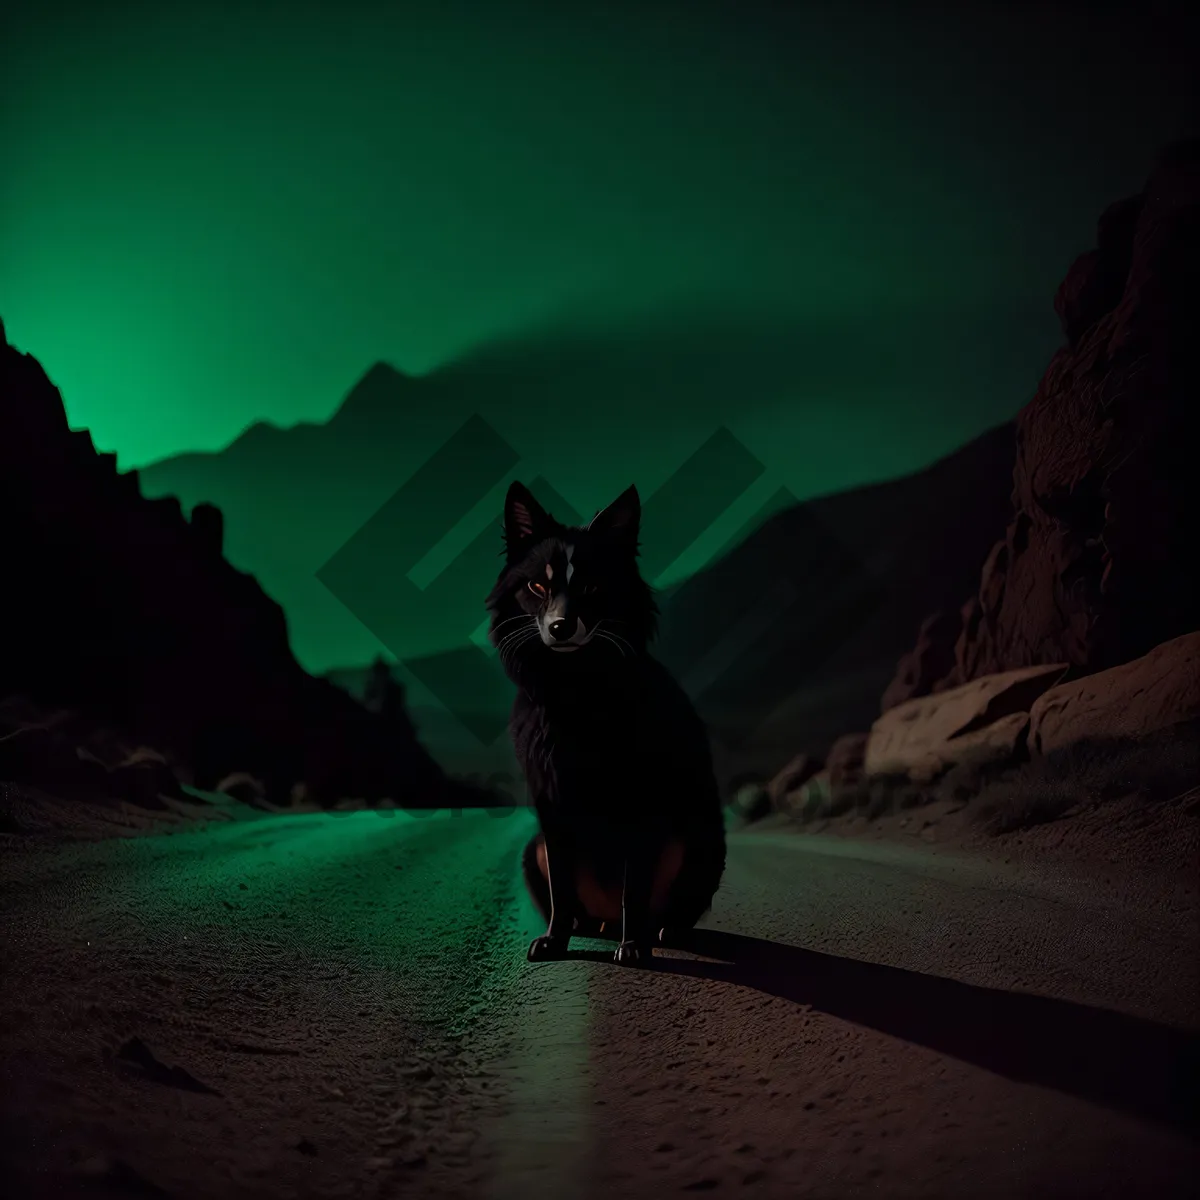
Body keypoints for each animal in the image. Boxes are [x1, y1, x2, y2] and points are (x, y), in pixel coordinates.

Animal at [482, 477, 724, 964]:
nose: (560, 627)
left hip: (698, 834)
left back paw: (662, 932)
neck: (575, 687)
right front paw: (554, 942)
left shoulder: (641, 800)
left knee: (667, 908)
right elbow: (560, 887)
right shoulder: (550, 803)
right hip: (533, 848)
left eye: (592, 585)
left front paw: (634, 949)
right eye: (537, 585)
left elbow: (635, 888)